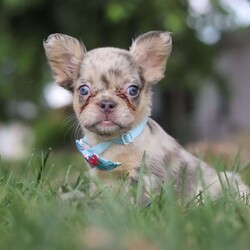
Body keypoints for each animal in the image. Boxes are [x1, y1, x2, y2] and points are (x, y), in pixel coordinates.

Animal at [43, 30, 248, 201]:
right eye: (83, 90)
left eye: (133, 90)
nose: (107, 103)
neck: (114, 143)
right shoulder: (101, 182)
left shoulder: (146, 176)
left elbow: (138, 202)